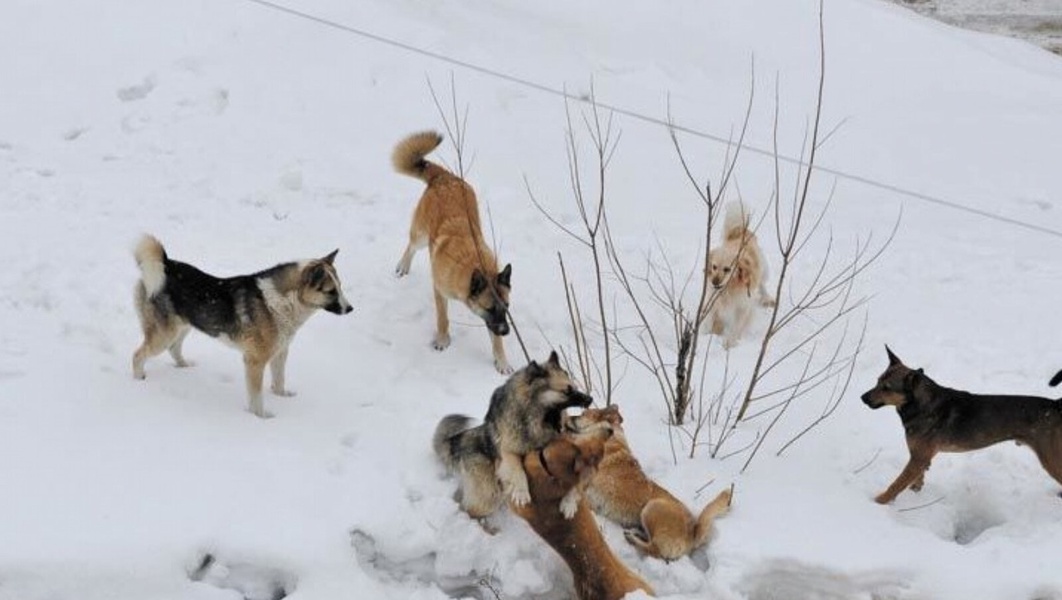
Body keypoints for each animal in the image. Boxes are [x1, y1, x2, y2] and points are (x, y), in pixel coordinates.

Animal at [862, 346, 1062, 505]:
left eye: (887, 388)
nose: (862, 397)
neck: (921, 403)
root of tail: (1056, 404)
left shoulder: (918, 458)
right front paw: (915, 493)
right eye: (877, 381)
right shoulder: (920, 457)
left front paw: (879, 502)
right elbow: (916, 480)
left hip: (1050, 457)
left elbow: (897, 484)